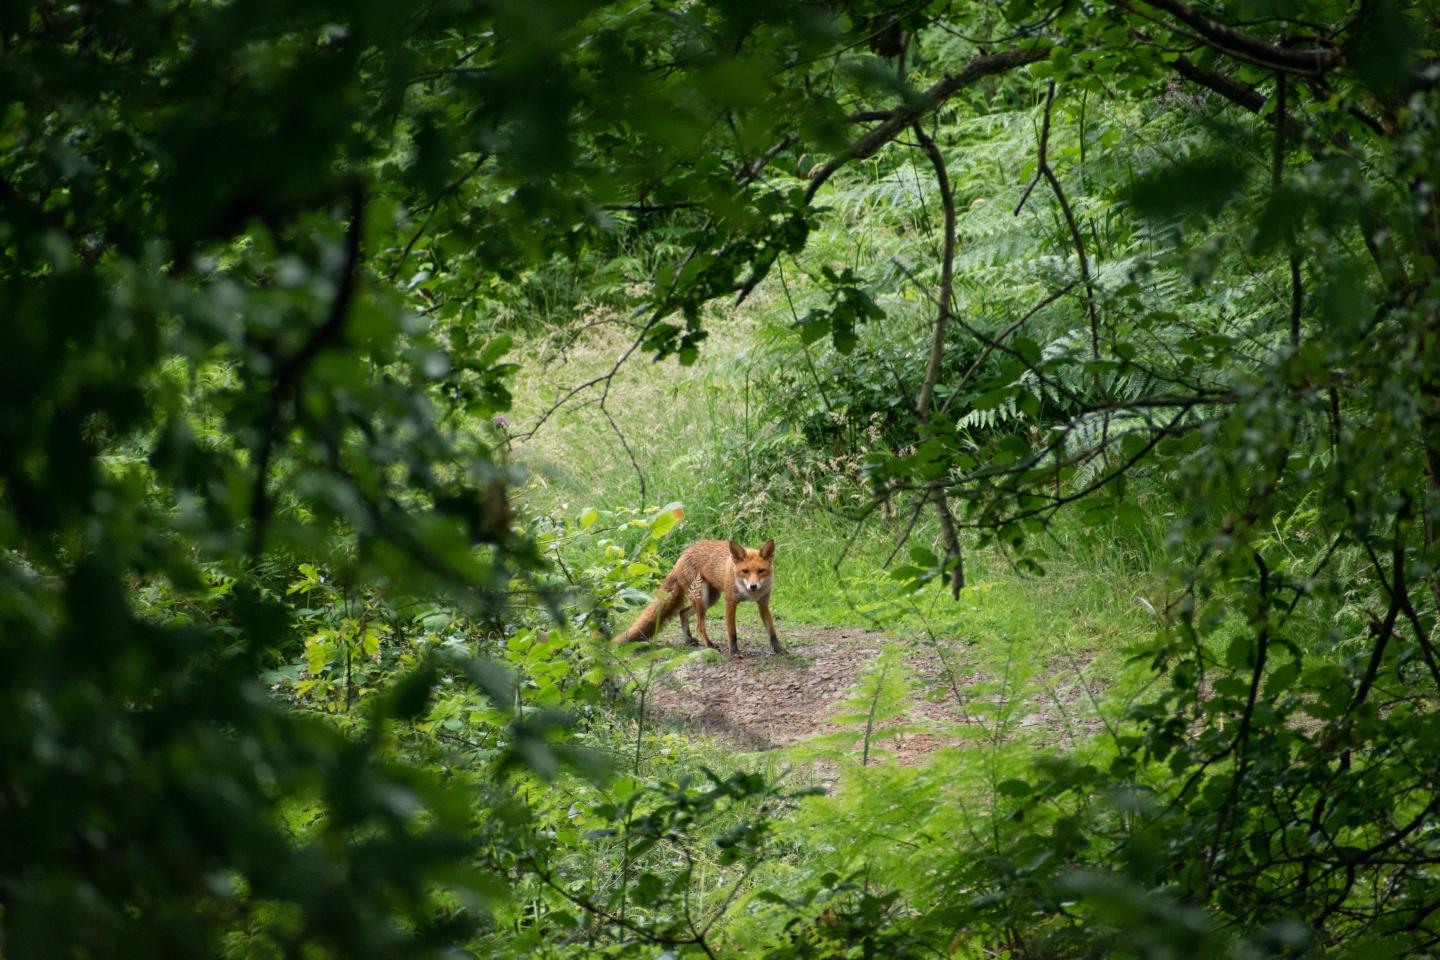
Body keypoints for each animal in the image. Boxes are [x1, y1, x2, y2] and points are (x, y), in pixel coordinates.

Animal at [613, 538, 783, 656]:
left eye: (761, 571)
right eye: (745, 571)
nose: (753, 586)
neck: (749, 594)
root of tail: (680, 558)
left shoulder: (763, 604)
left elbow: (772, 631)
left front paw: (779, 649)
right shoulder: (730, 602)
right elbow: (732, 632)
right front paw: (734, 652)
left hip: (710, 600)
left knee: (682, 613)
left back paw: (688, 639)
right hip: (702, 598)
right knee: (699, 626)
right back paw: (709, 644)